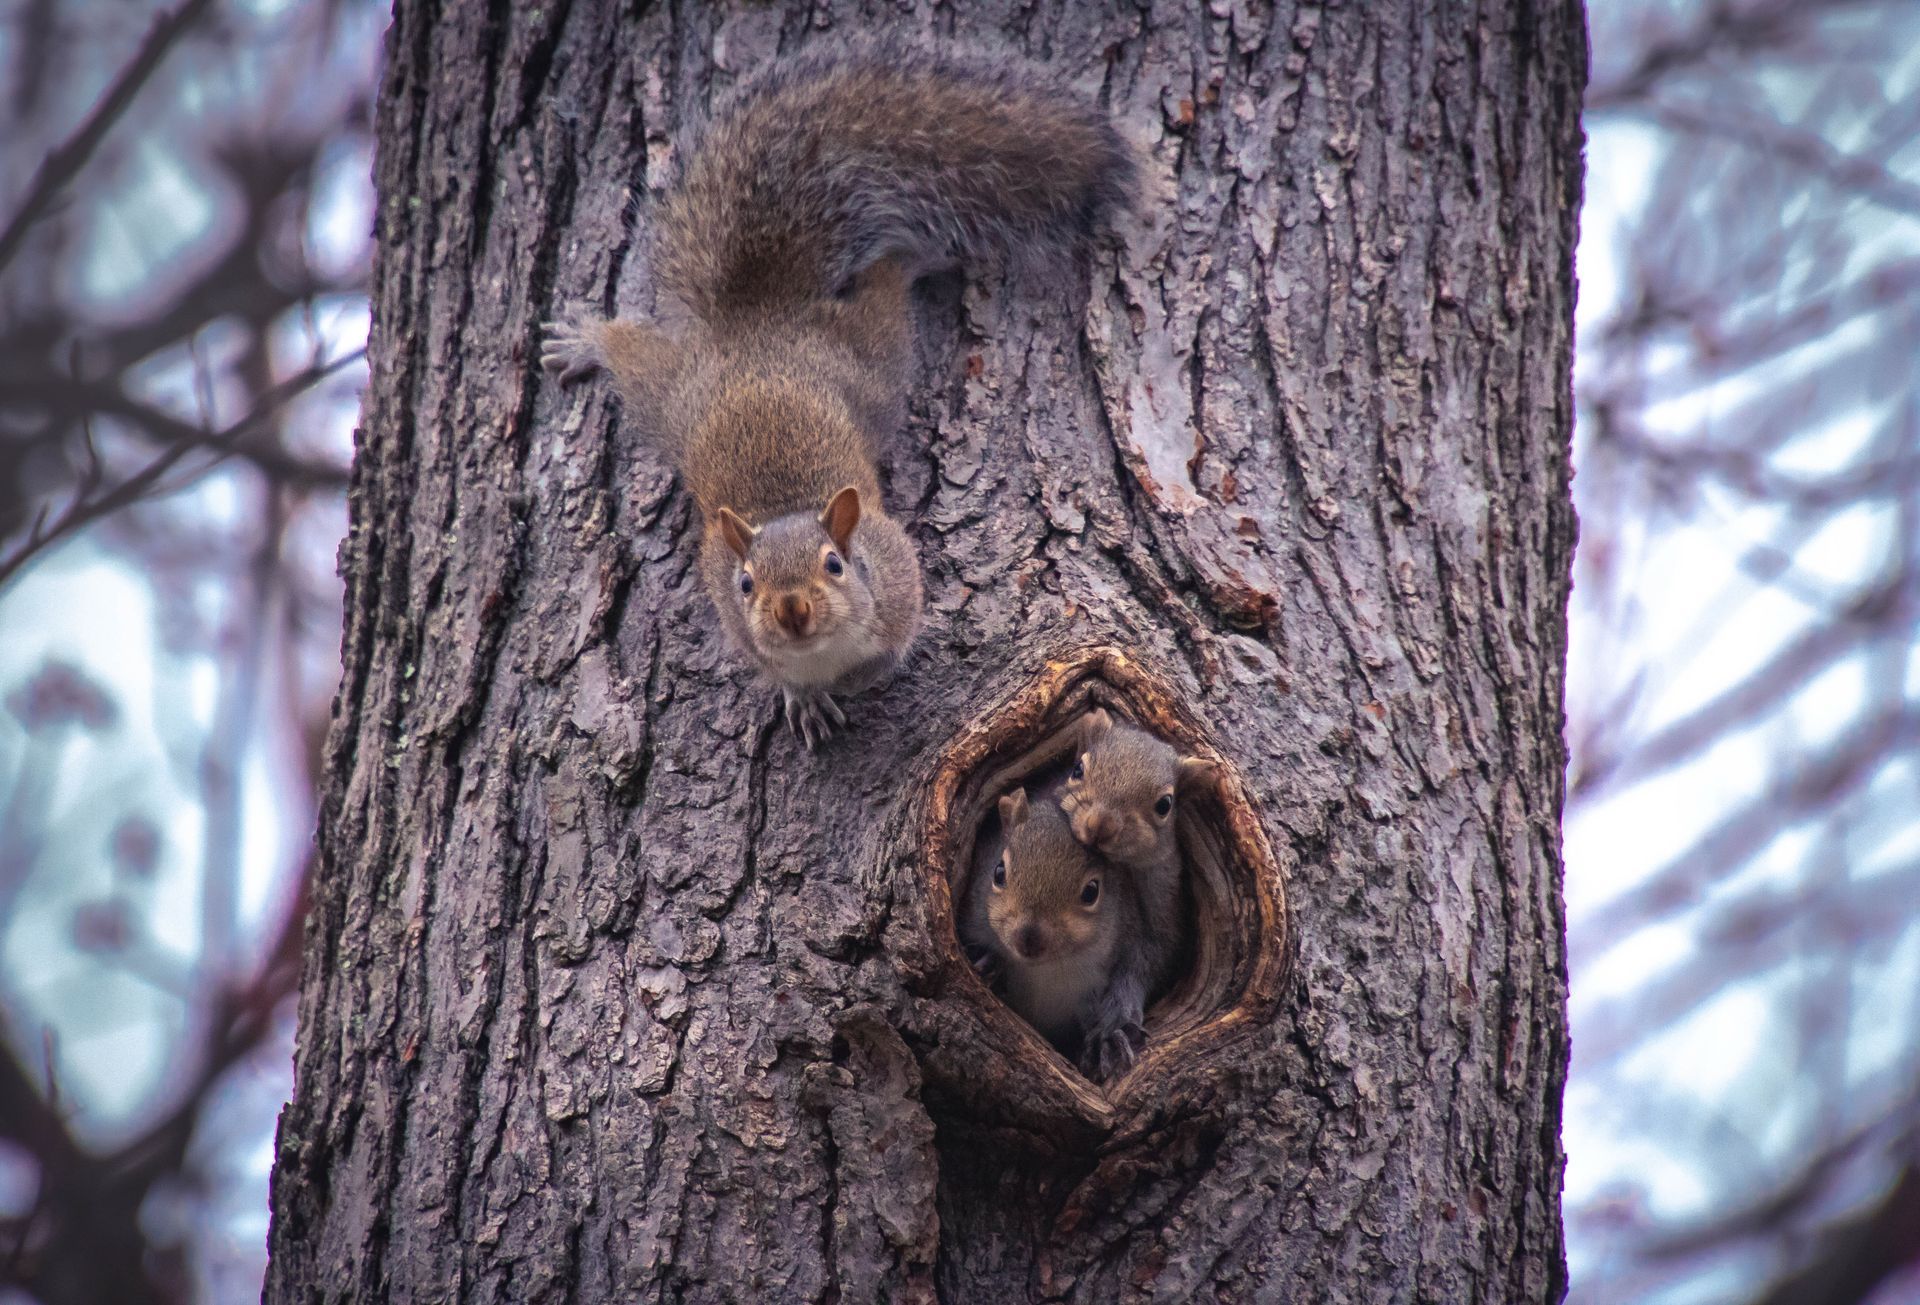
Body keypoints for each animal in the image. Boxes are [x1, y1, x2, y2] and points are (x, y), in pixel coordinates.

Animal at [542, 50, 1134, 747]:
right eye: (746, 583)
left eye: (834, 565)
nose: (792, 610)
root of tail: (759, 317)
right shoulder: (737, 622)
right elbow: (775, 671)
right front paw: (804, 698)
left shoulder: (898, 575)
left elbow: (890, 646)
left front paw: (853, 680)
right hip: (672, 395)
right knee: (630, 351)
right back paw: (586, 341)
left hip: (869, 358)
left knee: (885, 283)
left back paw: (914, 254)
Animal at [960, 786, 1156, 1081]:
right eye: (998, 872)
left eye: (1091, 892)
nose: (1028, 939)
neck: (1044, 969)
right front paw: (988, 959)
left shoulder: (1130, 943)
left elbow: (1130, 979)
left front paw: (1109, 1036)